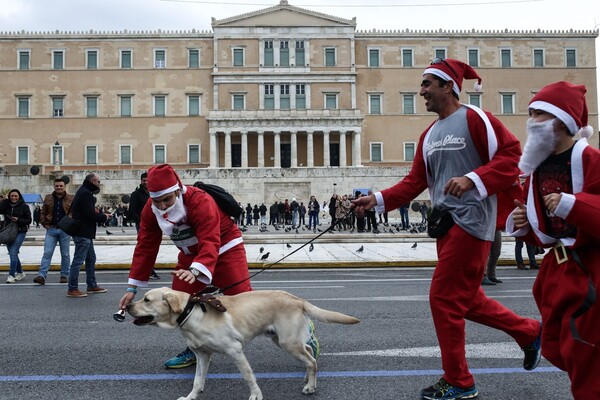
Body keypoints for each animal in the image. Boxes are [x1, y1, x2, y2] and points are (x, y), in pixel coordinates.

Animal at [127, 288, 358, 400]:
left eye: (146, 299)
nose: (128, 305)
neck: (191, 313)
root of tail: (296, 298)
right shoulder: (202, 355)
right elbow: (197, 381)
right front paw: (191, 397)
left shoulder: (235, 350)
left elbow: (248, 376)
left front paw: (256, 395)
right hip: (282, 338)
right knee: (309, 352)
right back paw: (307, 378)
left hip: (288, 341)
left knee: (312, 360)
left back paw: (310, 386)